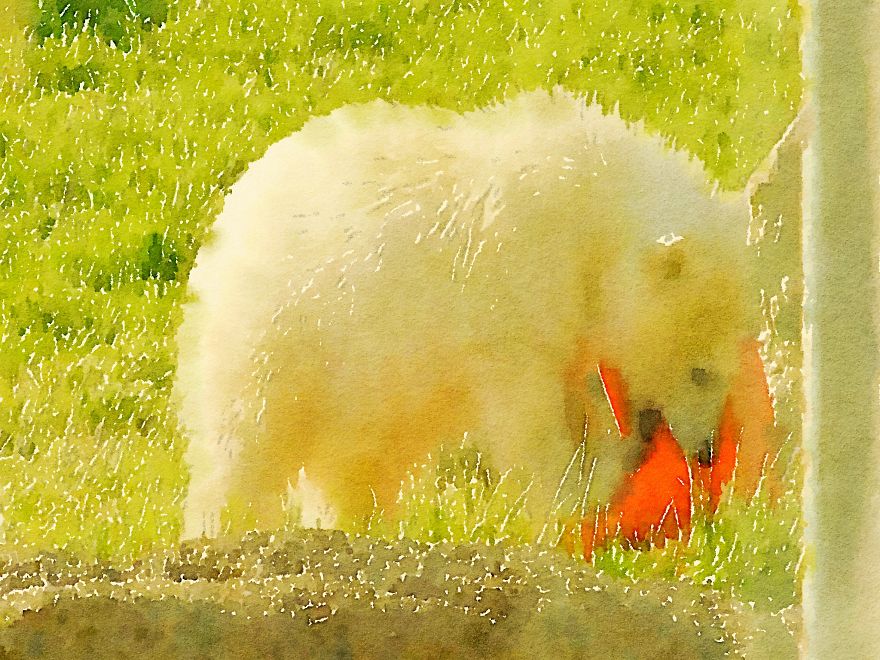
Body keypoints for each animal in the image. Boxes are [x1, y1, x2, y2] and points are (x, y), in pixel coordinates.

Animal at [175, 89, 767, 542]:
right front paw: (581, 488)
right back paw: (224, 527)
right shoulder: (513, 293)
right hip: (286, 325)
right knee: (248, 437)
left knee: (361, 459)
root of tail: (239, 207)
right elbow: (530, 416)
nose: (709, 452)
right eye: (701, 371)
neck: (591, 208)